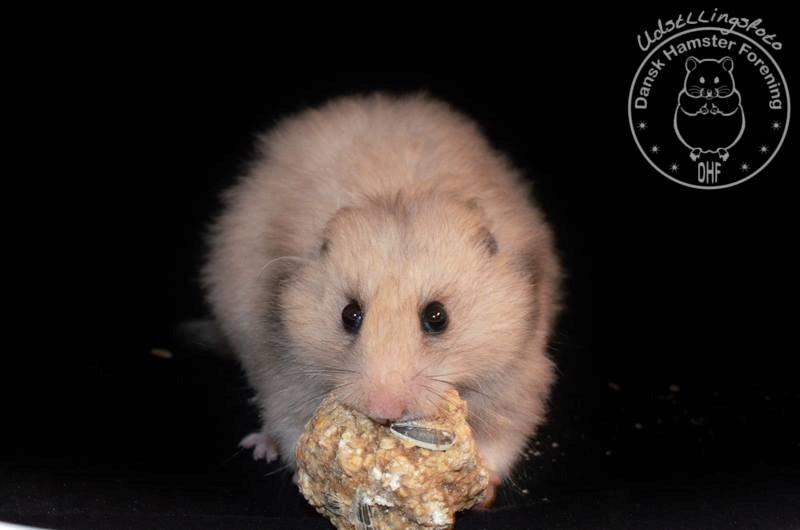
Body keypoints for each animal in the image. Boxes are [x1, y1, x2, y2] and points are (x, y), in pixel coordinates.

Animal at [202, 93, 561, 497]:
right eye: (349, 314)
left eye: (437, 316)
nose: (384, 411)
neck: (397, 196)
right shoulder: (285, 370)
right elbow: (289, 423)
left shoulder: (517, 376)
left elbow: (501, 437)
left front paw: (483, 485)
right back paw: (260, 447)